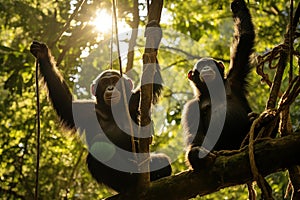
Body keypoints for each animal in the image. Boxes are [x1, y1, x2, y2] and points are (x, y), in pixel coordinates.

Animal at [182, 0, 254, 170]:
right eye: (201, 67)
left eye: (210, 64)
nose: (206, 68)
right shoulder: (191, 107)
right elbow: (196, 135)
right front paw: (196, 154)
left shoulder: (235, 77)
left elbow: (245, 38)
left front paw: (237, 6)